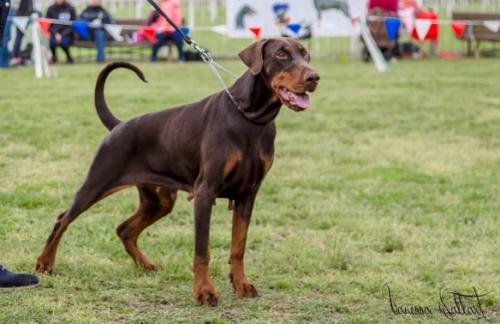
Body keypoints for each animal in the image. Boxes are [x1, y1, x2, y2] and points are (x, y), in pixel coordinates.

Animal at [37, 38, 322, 306]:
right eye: (281, 54)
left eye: (305, 54)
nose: (314, 77)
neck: (250, 118)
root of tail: (119, 125)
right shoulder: (205, 193)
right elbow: (202, 251)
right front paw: (204, 292)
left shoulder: (247, 195)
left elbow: (238, 246)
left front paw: (241, 284)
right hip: (97, 182)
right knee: (63, 219)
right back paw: (45, 263)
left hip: (159, 200)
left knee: (124, 229)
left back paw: (145, 264)